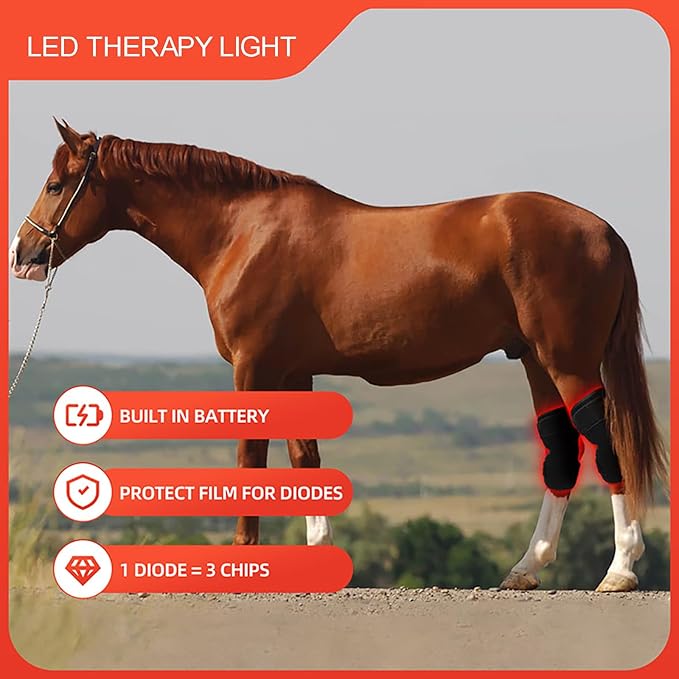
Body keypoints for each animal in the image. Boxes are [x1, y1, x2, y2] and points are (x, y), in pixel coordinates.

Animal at [10, 120, 667, 592]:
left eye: (55, 185)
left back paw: (620, 570)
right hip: (534, 360)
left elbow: (251, 457)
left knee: (605, 440)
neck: (242, 231)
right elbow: (306, 460)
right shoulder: (294, 370)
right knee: (561, 451)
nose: (22, 254)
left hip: (568, 361)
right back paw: (527, 568)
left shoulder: (254, 366)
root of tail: (605, 231)